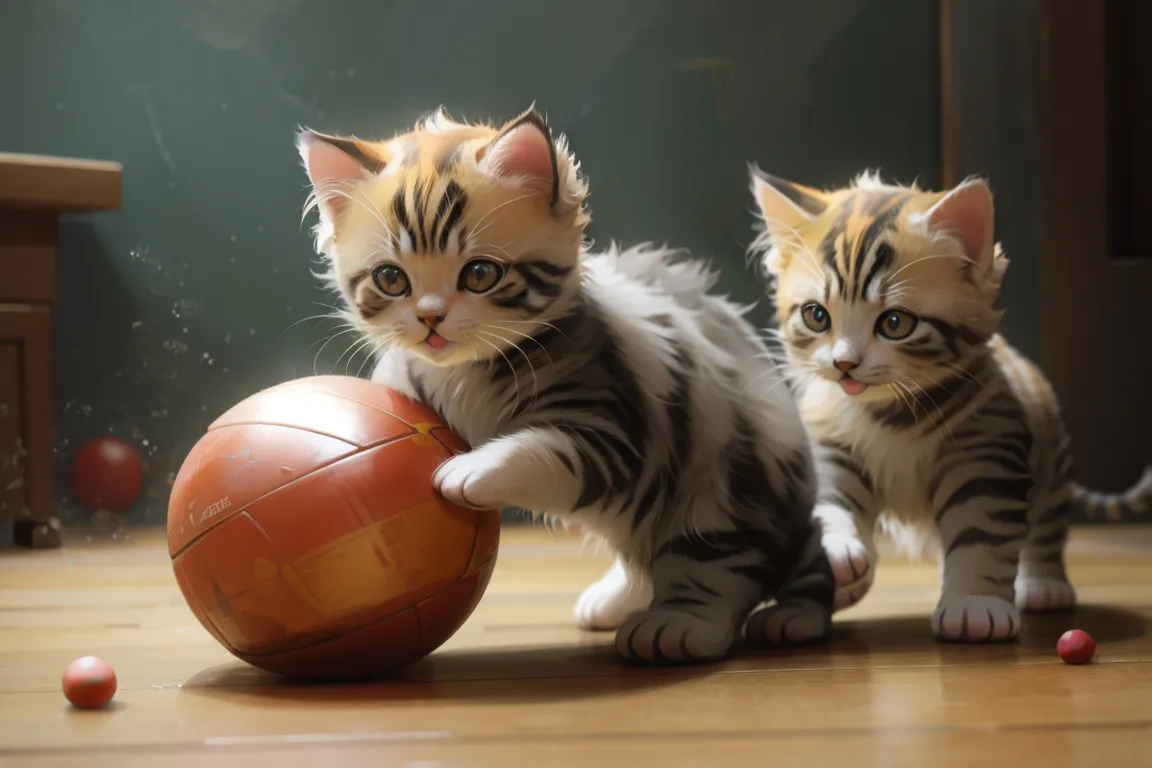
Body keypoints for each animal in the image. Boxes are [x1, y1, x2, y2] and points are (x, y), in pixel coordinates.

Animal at [294, 105, 838, 663]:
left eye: (480, 274)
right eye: (391, 279)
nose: (430, 318)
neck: (464, 373)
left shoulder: (614, 429)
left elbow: (536, 447)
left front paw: (471, 467)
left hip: (724, 483)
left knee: (740, 567)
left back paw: (710, 622)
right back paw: (620, 599)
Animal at [741, 168, 1147, 644]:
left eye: (895, 323)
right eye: (816, 315)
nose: (845, 364)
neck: (888, 414)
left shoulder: (985, 453)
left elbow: (980, 535)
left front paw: (975, 605)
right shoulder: (831, 447)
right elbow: (829, 502)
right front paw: (832, 559)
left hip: (1050, 460)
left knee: (1046, 526)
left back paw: (1045, 586)